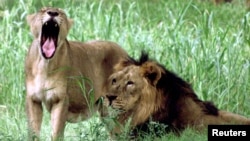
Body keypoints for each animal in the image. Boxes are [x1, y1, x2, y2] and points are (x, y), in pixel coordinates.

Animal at [25, 7, 129, 140]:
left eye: (60, 12)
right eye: (43, 10)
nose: (53, 13)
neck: (44, 64)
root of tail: (124, 53)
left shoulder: (60, 99)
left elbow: (56, 133)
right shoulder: (33, 99)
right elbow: (33, 133)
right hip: (106, 111)